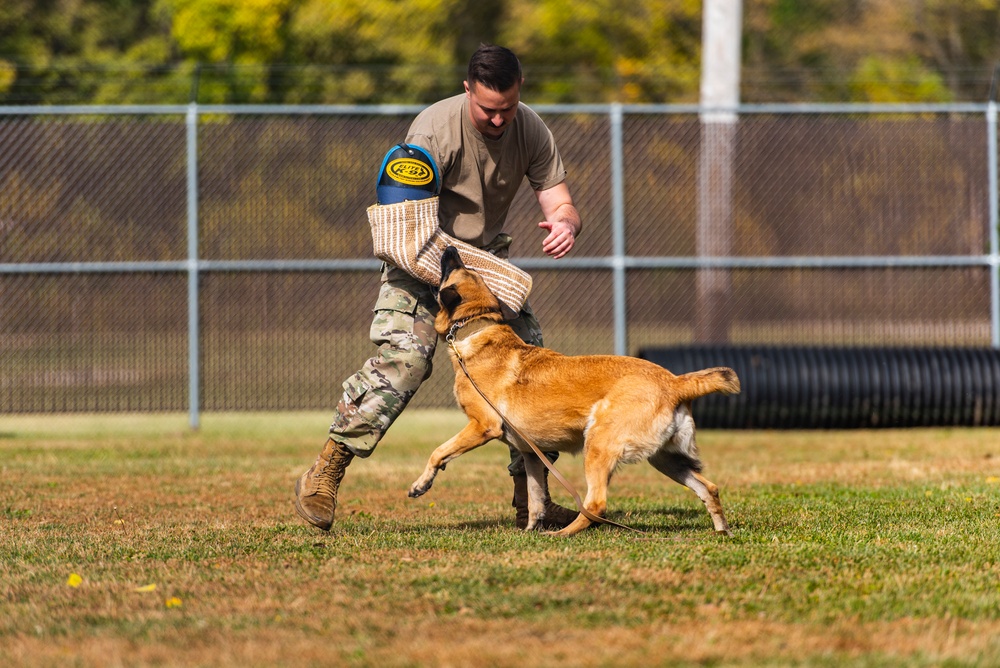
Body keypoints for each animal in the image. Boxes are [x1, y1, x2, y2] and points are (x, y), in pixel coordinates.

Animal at [408, 247, 744, 536]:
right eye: (466, 267)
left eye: (454, 268)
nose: (450, 248)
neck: (475, 327)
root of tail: (675, 383)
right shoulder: (530, 453)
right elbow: (535, 498)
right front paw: (529, 532)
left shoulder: (482, 426)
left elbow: (438, 452)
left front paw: (420, 485)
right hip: (665, 459)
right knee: (709, 488)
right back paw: (722, 533)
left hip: (598, 445)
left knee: (596, 504)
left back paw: (562, 534)